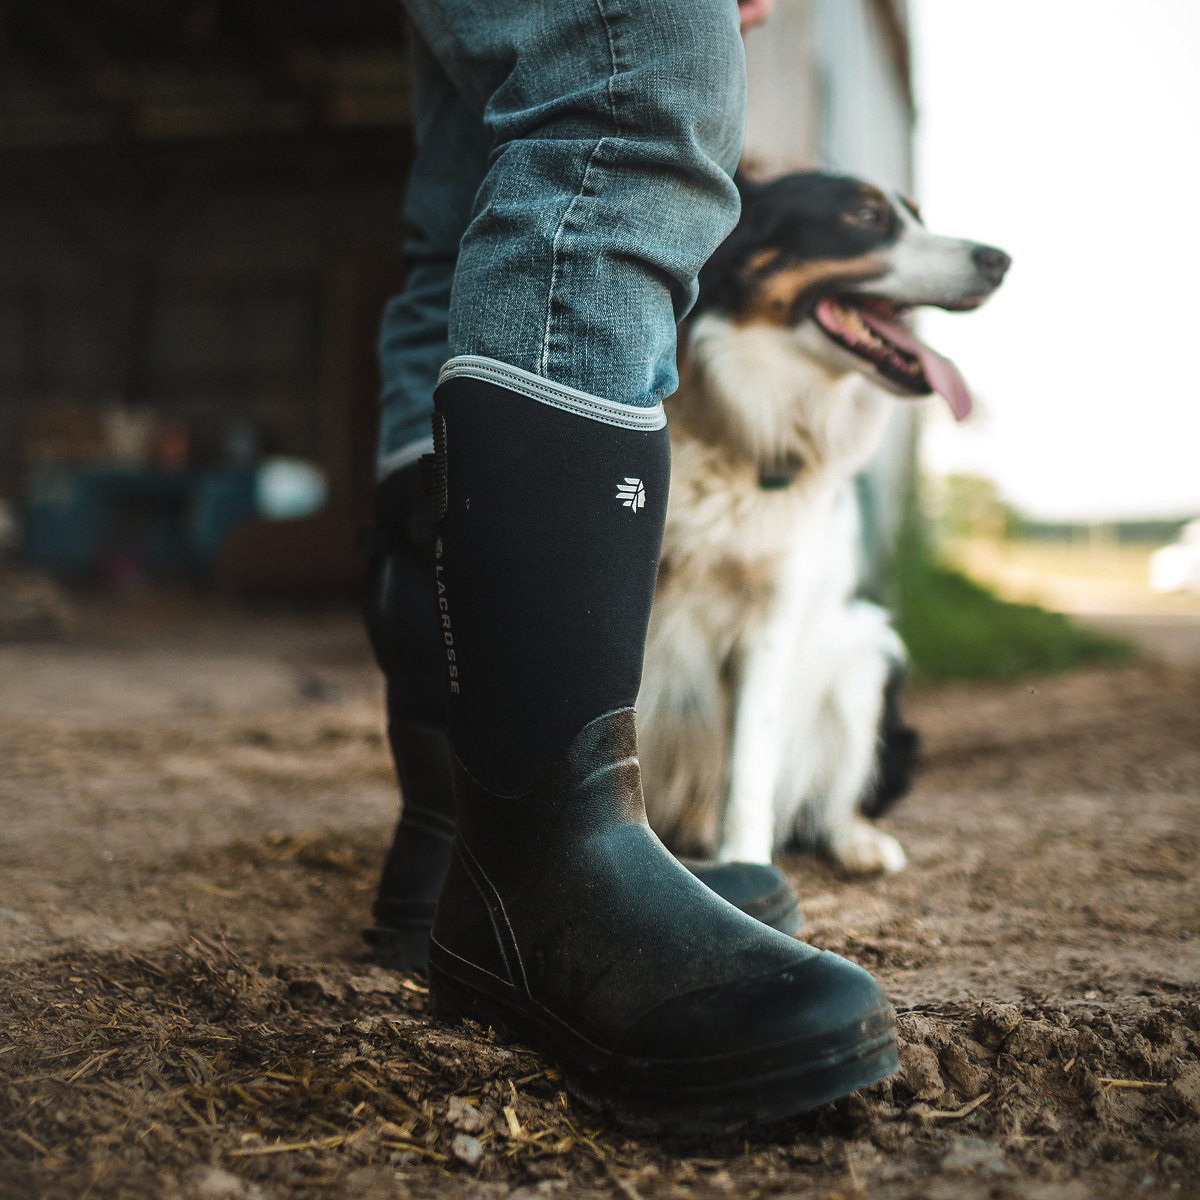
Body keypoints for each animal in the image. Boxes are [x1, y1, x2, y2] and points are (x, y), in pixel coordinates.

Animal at [638, 169, 1012, 873]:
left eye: (917, 216)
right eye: (864, 217)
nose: (1000, 260)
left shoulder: (771, 616)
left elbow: (750, 767)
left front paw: (746, 871)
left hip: (867, 658)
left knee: (829, 802)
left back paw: (856, 842)